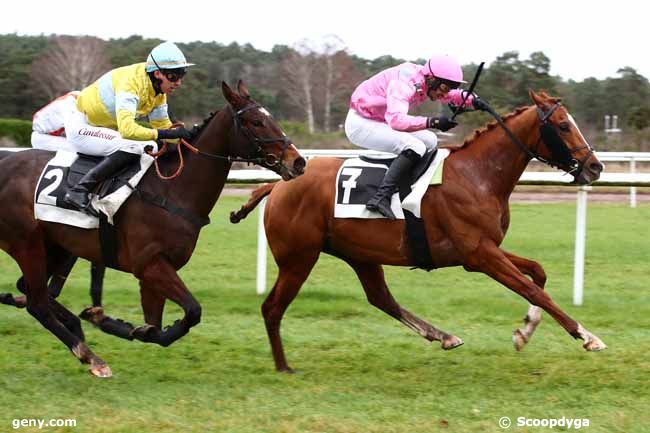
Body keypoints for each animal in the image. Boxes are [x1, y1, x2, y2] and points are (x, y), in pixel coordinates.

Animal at [0, 80, 304, 374]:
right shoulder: (149, 265)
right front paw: (112, 322)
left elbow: (155, 328)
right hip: (27, 243)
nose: (298, 161)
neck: (171, 189)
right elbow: (192, 311)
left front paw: (111, 321)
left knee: (31, 290)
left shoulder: (155, 271)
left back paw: (74, 328)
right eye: (256, 122)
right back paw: (90, 357)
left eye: (270, 118)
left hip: (56, 245)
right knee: (38, 304)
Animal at [233, 88, 608, 372]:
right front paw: (586, 336)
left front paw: (525, 331)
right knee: (272, 308)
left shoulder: (485, 248)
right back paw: (283, 366)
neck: (477, 175)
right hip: (299, 258)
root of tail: (278, 184)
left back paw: (443, 336)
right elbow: (533, 290)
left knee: (380, 298)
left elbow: (538, 273)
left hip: (358, 253)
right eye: (563, 125)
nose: (595, 166)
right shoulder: (480, 255)